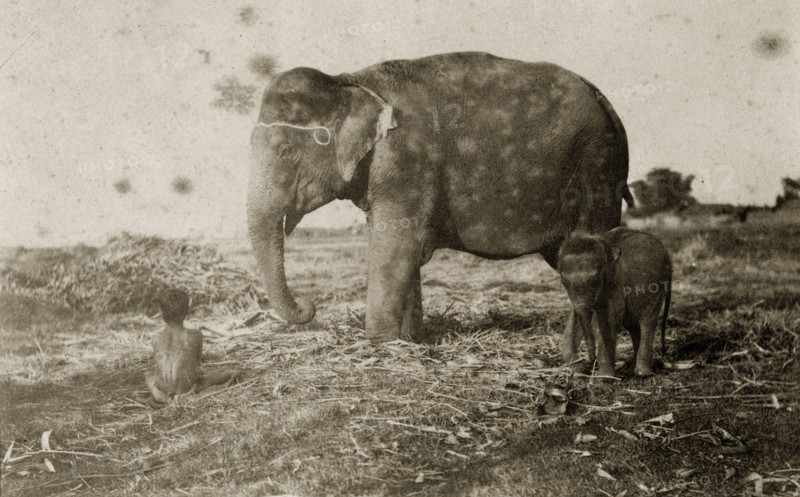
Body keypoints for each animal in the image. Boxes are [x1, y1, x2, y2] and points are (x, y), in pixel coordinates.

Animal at [247, 51, 634, 342]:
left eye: (284, 151)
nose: (310, 307)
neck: (347, 79)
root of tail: (605, 101)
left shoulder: (407, 160)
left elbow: (394, 246)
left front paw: (380, 343)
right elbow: (402, 247)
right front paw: (410, 340)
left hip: (596, 169)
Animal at [557, 227, 672, 377]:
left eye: (597, 280)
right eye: (563, 282)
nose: (591, 361)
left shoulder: (617, 285)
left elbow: (608, 321)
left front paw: (605, 377)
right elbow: (576, 315)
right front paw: (577, 369)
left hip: (656, 289)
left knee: (647, 323)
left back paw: (642, 373)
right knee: (633, 326)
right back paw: (630, 370)